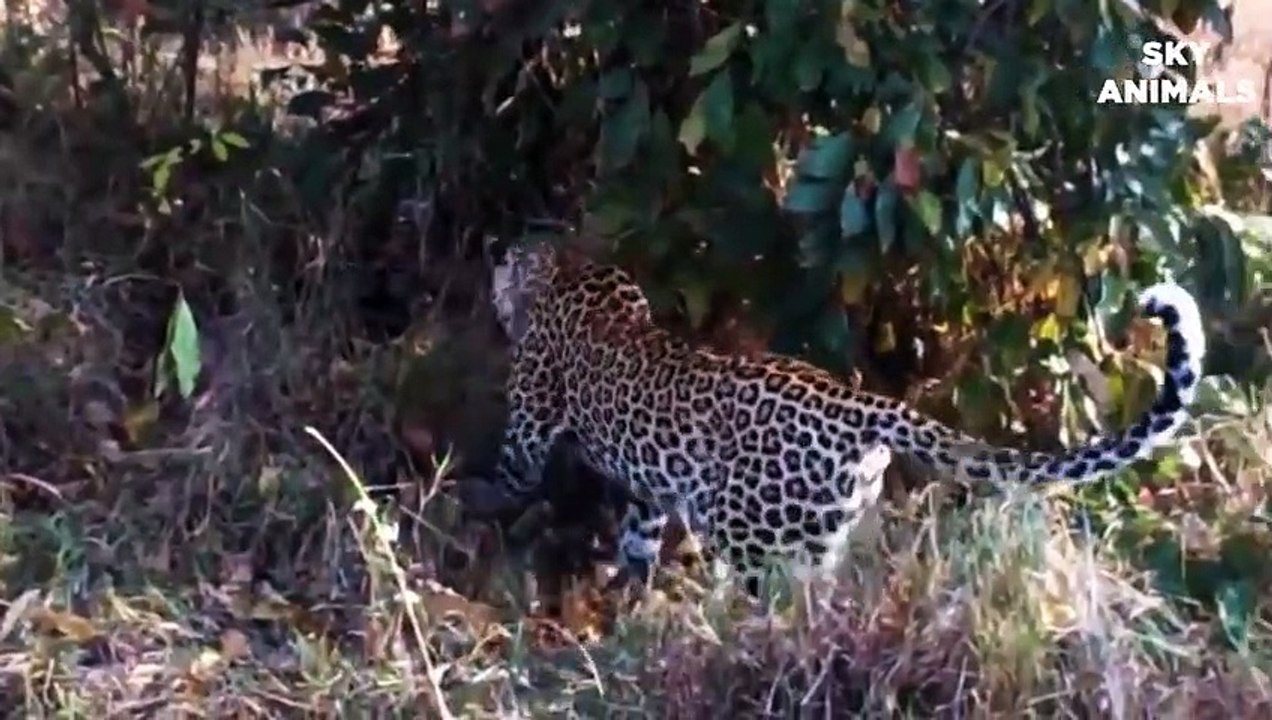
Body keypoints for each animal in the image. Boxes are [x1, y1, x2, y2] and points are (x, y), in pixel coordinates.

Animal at [485, 239, 1207, 597]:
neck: (565, 272)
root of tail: (864, 407)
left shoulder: (529, 424)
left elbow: (508, 473)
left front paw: (474, 516)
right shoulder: (647, 487)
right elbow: (639, 531)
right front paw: (628, 597)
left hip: (749, 537)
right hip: (819, 533)